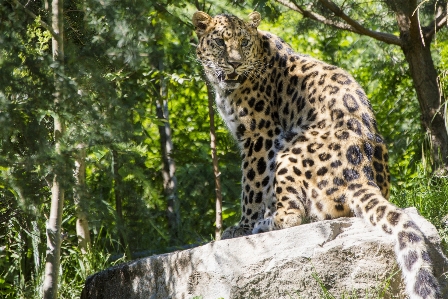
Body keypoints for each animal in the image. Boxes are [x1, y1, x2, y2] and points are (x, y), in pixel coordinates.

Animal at [192, 10, 440, 298]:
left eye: (243, 42)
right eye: (220, 42)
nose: (234, 64)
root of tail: (361, 174)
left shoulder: (260, 135)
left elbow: (252, 185)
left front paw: (243, 226)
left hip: (288, 148)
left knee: (294, 214)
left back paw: (264, 224)